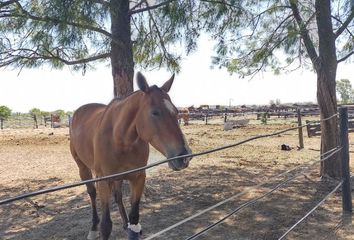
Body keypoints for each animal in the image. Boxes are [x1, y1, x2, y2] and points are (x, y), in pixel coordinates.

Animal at [69, 72, 191, 239]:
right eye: (155, 112)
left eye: (177, 112)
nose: (184, 156)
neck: (120, 139)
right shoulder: (104, 180)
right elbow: (106, 225)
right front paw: (100, 228)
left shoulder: (138, 177)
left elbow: (134, 217)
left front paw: (130, 226)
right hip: (83, 168)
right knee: (92, 193)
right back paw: (93, 228)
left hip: (118, 177)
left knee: (118, 196)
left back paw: (125, 224)